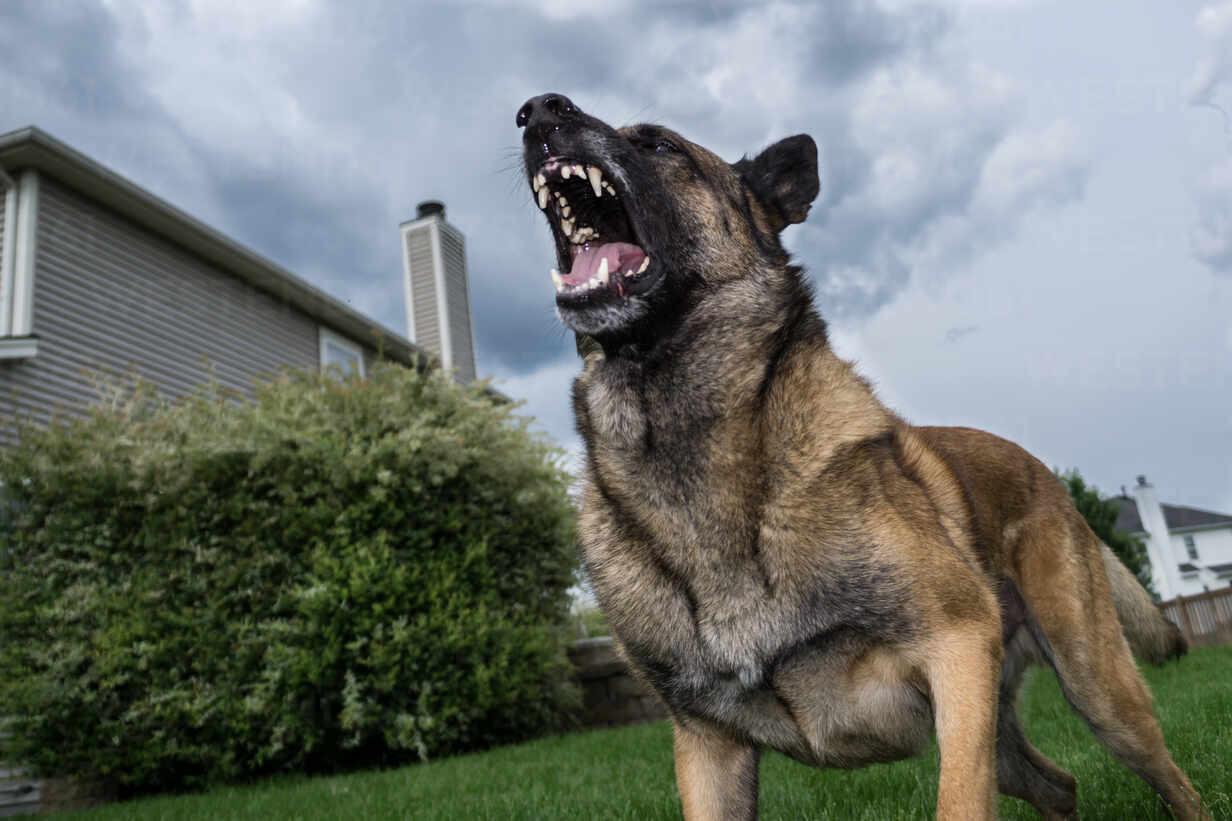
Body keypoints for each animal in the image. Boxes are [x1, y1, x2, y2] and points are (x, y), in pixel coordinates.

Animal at [514, 92, 1207, 813]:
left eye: (658, 144)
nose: (539, 110)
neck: (684, 444)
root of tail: (1041, 469)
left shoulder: (957, 643)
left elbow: (958, 803)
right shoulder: (707, 745)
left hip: (1093, 690)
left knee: (1169, 777)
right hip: (998, 732)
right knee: (1058, 783)